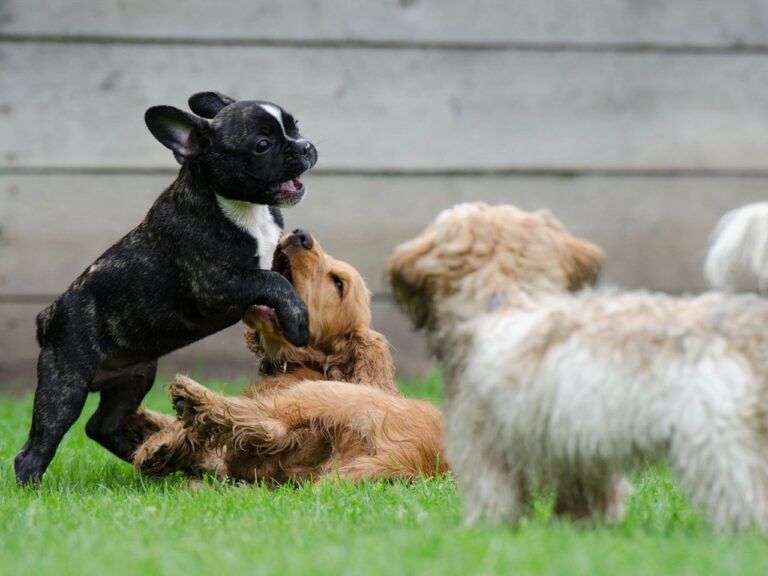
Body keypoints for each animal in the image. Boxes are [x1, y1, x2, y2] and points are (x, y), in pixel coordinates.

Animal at [13, 91, 318, 486]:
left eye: (295, 126)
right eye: (262, 145)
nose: (305, 145)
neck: (243, 208)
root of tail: (48, 315)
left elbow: (281, 275)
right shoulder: (217, 284)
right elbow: (272, 281)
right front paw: (298, 323)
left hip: (135, 376)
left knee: (101, 425)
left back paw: (150, 458)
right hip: (65, 386)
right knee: (38, 445)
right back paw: (34, 487)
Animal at [132, 232, 444, 484]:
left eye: (338, 284)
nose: (300, 235)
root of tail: (412, 456)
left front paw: (158, 441)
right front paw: (147, 423)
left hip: (324, 395)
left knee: (268, 423)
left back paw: (192, 399)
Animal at [388, 201, 768, 532]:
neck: (507, 299)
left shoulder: (485, 442)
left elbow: (494, 493)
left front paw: (484, 529)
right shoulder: (582, 451)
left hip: (715, 442)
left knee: (743, 495)